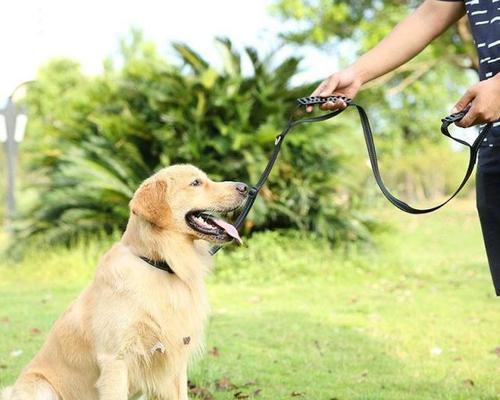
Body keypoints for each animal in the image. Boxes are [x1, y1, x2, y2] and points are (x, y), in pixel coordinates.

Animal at [0, 164, 247, 398]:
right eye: (196, 183)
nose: (245, 187)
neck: (159, 264)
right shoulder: (115, 360)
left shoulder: (175, 363)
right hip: (40, 386)